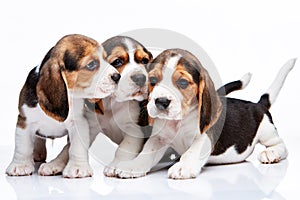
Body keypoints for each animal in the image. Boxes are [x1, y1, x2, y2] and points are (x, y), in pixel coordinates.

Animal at [5, 34, 120, 178]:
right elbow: (23, 146)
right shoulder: (24, 121)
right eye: (91, 64)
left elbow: (76, 147)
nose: (118, 76)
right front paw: (20, 166)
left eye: (106, 59)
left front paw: (78, 168)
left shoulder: (79, 123)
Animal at [113, 48, 294, 180]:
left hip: (266, 130)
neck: (179, 121)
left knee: (280, 145)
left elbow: (192, 151)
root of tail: (258, 104)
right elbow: (146, 153)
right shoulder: (159, 139)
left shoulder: (204, 136)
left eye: (183, 82)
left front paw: (183, 166)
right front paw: (131, 166)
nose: (161, 101)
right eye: (152, 81)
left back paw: (271, 153)